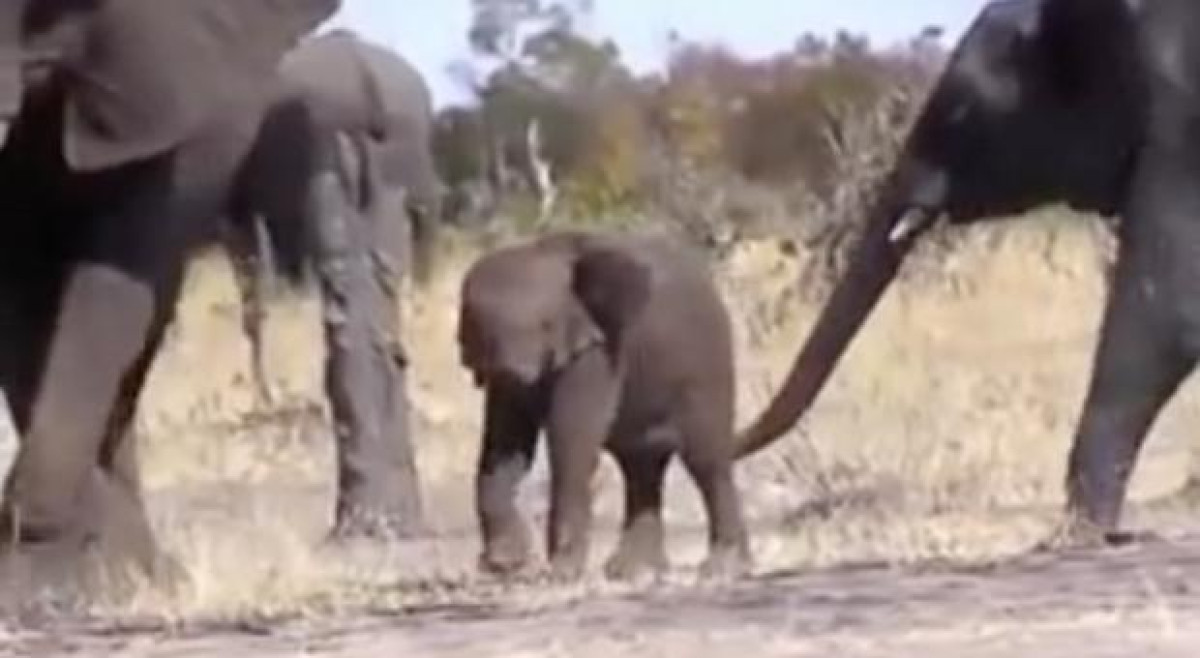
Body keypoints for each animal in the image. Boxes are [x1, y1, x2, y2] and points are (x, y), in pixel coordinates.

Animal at [457, 230, 751, 581]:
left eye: (545, 325)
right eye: (484, 331)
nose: (524, 377)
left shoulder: (599, 350)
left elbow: (571, 443)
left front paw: (563, 571)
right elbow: (505, 447)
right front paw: (504, 563)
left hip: (707, 361)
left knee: (704, 460)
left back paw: (723, 567)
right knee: (640, 464)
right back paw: (633, 570)